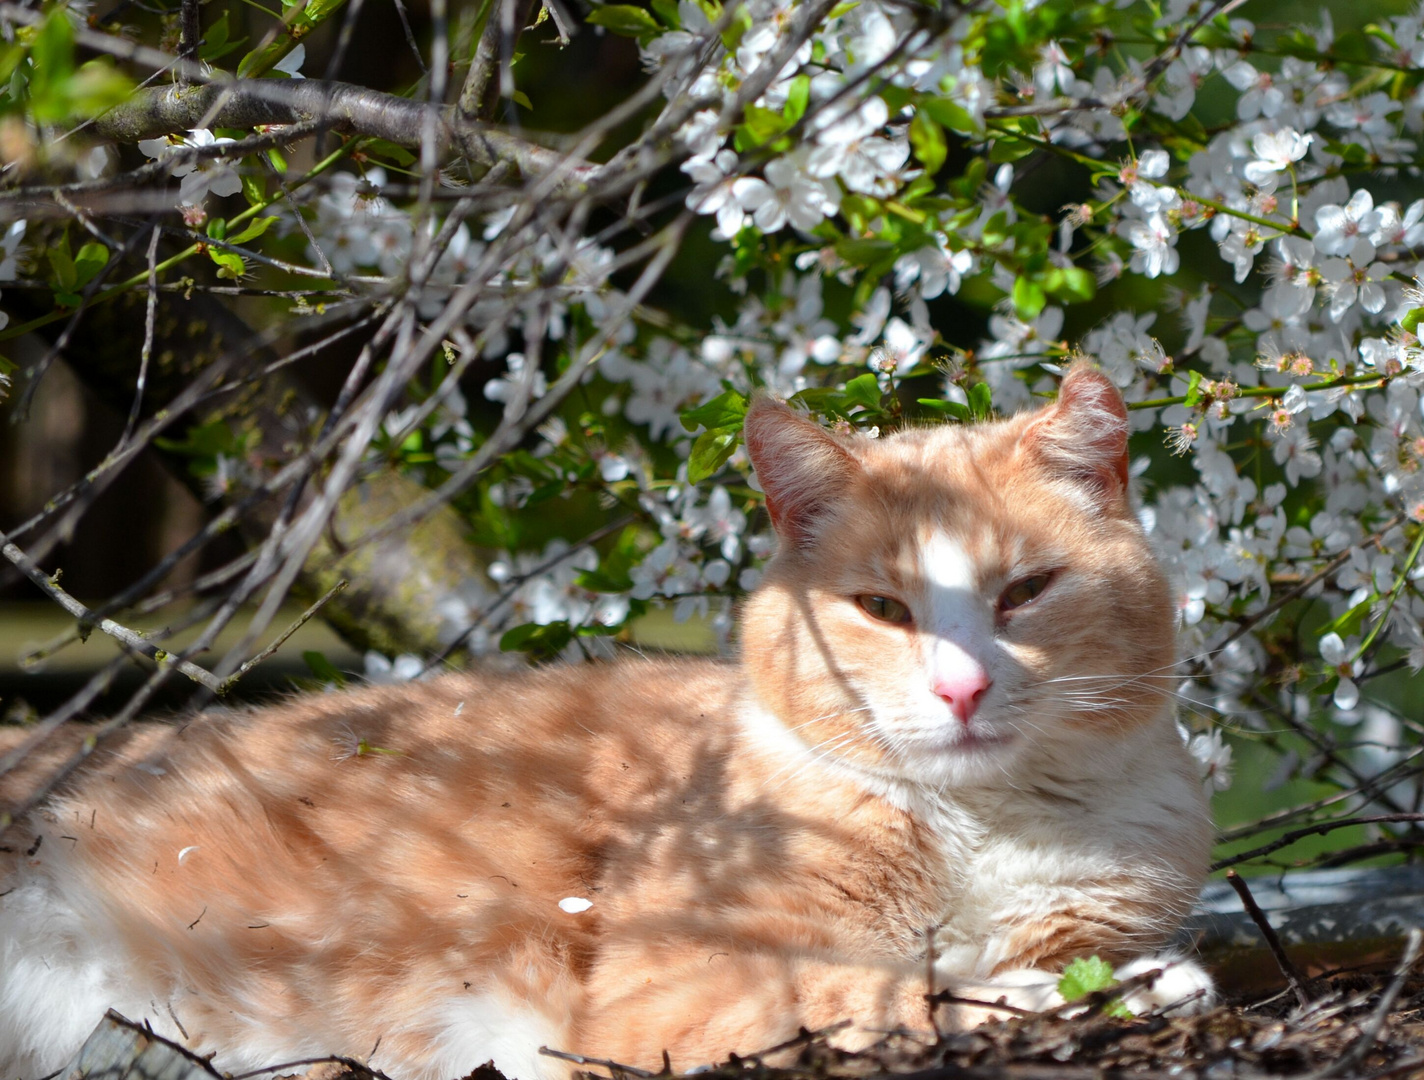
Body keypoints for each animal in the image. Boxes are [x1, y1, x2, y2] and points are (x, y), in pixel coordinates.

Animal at [0, 363, 1213, 1080]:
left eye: (1025, 593)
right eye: (881, 609)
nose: (961, 689)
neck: (977, 828)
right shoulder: (678, 994)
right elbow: (885, 986)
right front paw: (1086, 992)